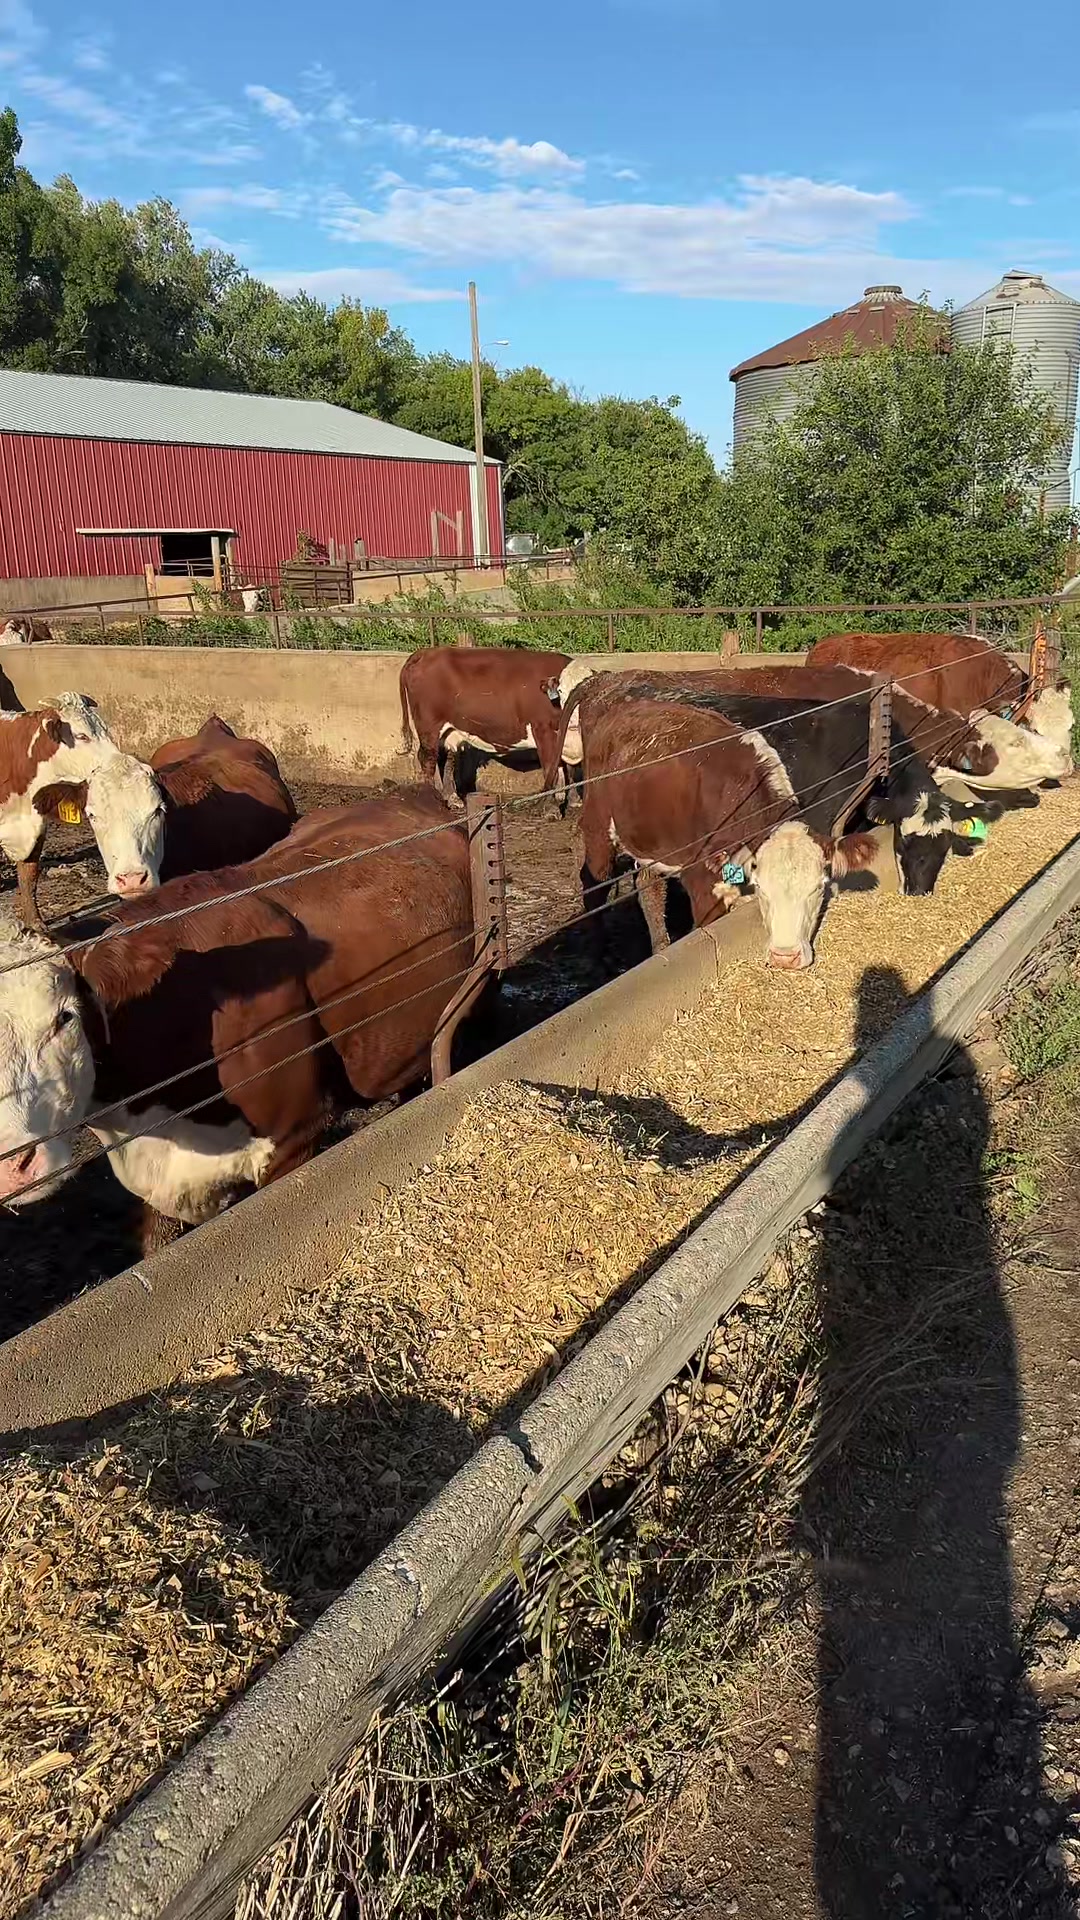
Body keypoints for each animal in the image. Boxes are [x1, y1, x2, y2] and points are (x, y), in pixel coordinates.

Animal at [0, 692, 160, 929]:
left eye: (105, 730)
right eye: (81, 736)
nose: (116, 759)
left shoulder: (37, 823)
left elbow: (29, 875)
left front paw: (35, 923)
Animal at [399, 647, 588, 804]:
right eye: (562, 692)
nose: (574, 718)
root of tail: (426, 652)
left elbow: (571, 769)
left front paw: (574, 800)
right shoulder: (543, 730)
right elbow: (551, 769)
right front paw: (551, 807)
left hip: (450, 728)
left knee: (446, 759)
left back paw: (452, 798)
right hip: (428, 726)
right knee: (428, 759)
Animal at [563, 686, 879, 971]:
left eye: (817, 888)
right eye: (762, 889)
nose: (785, 958)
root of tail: (620, 708)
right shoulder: (703, 884)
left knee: (649, 891)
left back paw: (660, 948)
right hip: (598, 826)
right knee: (594, 884)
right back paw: (596, 958)